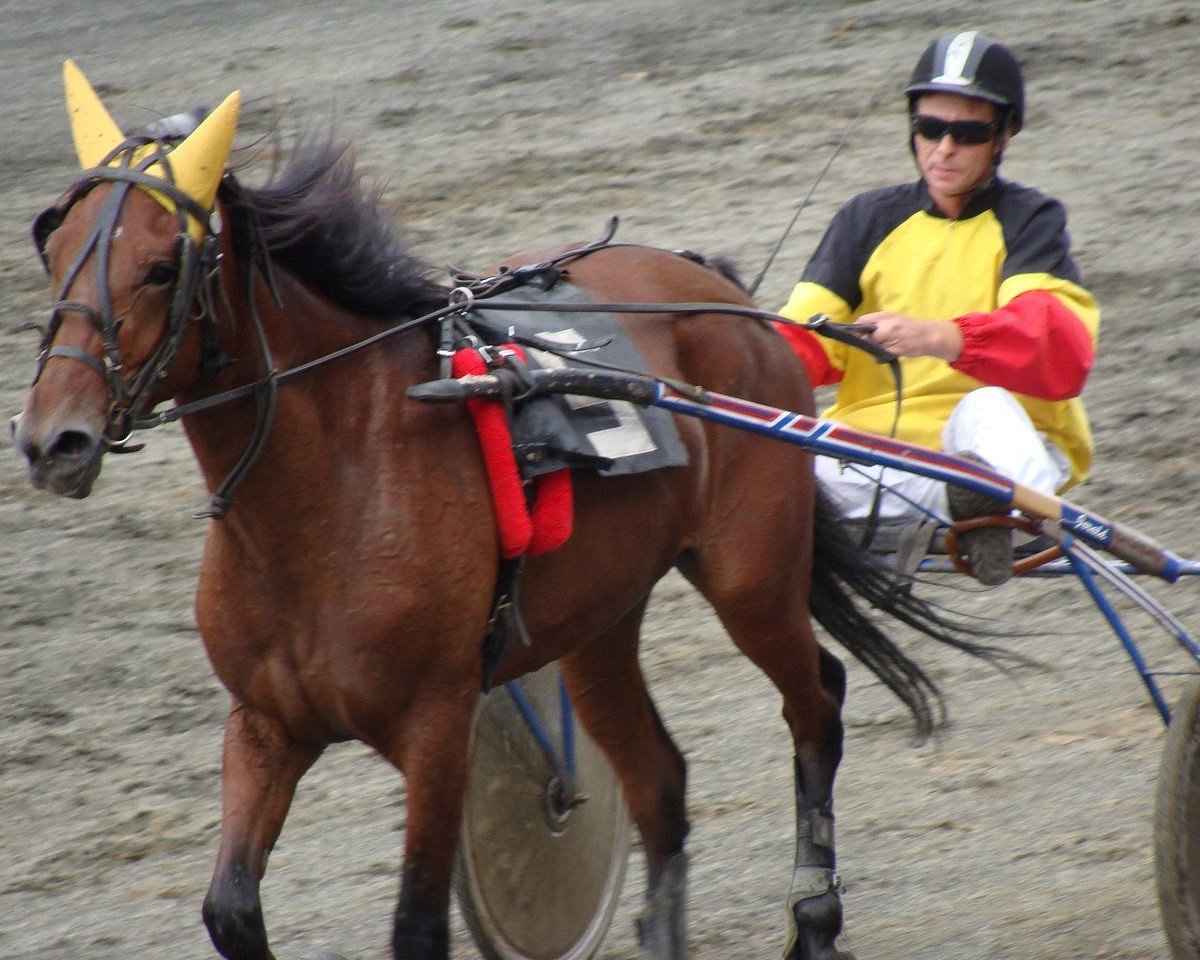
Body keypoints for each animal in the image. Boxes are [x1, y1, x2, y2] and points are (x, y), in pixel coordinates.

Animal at [11, 61, 993, 960]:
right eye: (54, 249)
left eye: (160, 266)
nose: (53, 439)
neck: (329, 493)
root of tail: (727, 296)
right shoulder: (264, 724)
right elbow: (231, 910)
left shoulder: (436, 725)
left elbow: (415, 927)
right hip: (596, 621)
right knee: (660, 780)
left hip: (750, 577)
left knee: (816, 702)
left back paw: (815, 920)